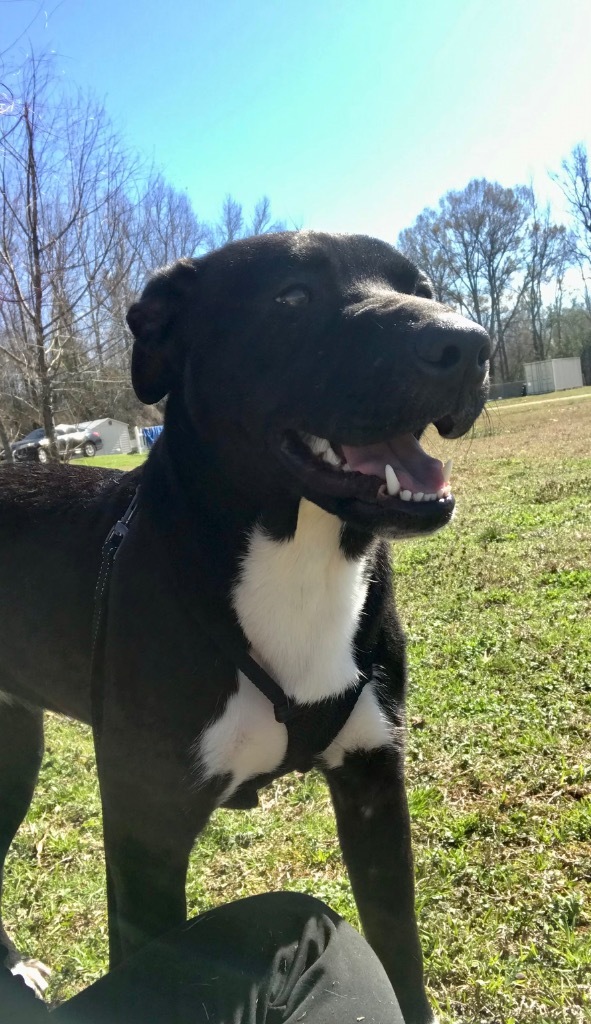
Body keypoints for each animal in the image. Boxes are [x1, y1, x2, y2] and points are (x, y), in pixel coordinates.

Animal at [0, 234, 487, 1024]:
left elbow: (402, 959)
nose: (467, 344)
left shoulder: (375, 786)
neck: (299, 555)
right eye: (290, 297)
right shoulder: (145, 837)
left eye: (421, 286)